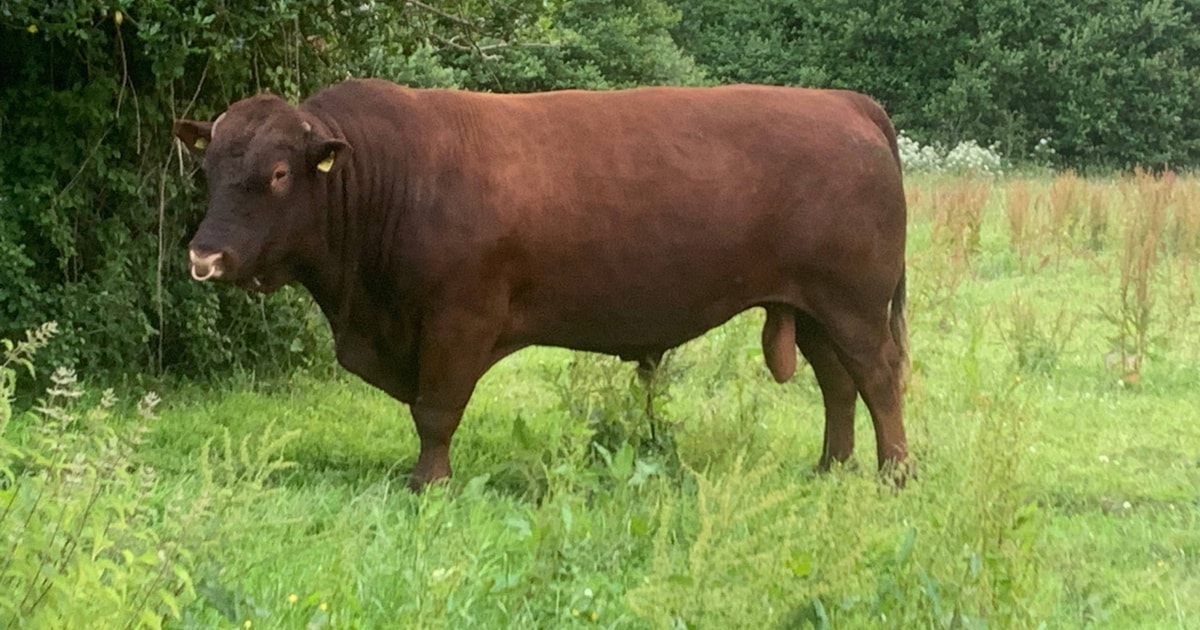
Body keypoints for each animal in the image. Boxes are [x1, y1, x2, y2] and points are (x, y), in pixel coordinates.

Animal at [173, 78, 910, 490]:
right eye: (207, 168)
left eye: (277, 174)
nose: (205, 256)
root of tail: (845, 104)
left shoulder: (457, 320)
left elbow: (435, 412)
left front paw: (428, 484)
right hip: (812, 306)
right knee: (837, 382)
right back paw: (831, 466)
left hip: (854, 304)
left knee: (877, 378)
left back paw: (894, 474)